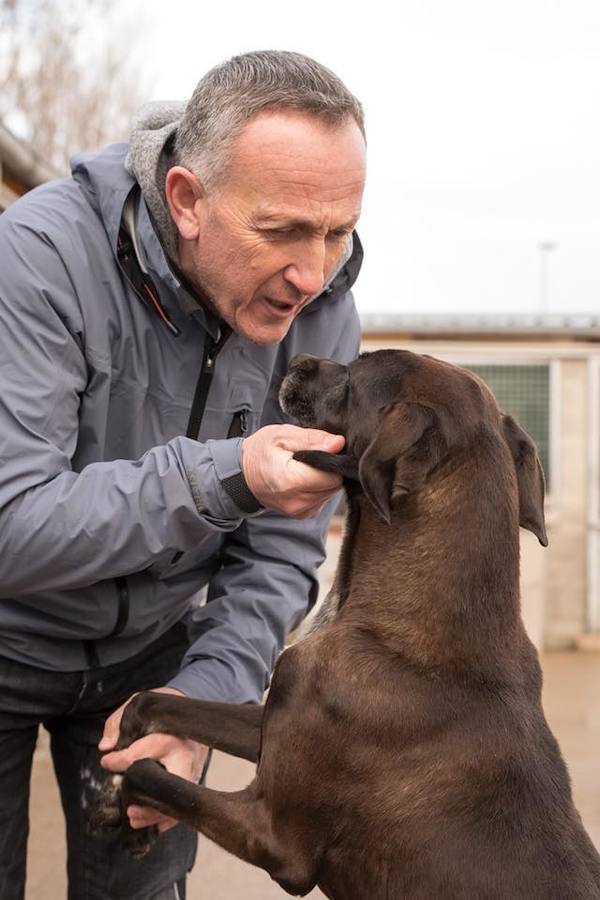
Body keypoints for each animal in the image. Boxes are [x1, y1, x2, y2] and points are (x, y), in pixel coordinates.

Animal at [91, 348, 600, 896]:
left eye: (357, 372)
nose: (298, 358)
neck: (398, 635)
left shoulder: (274, 837)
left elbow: (148, 774)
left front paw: (128, 799)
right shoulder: (271, 721)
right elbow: (150, 701)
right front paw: (116, 782)